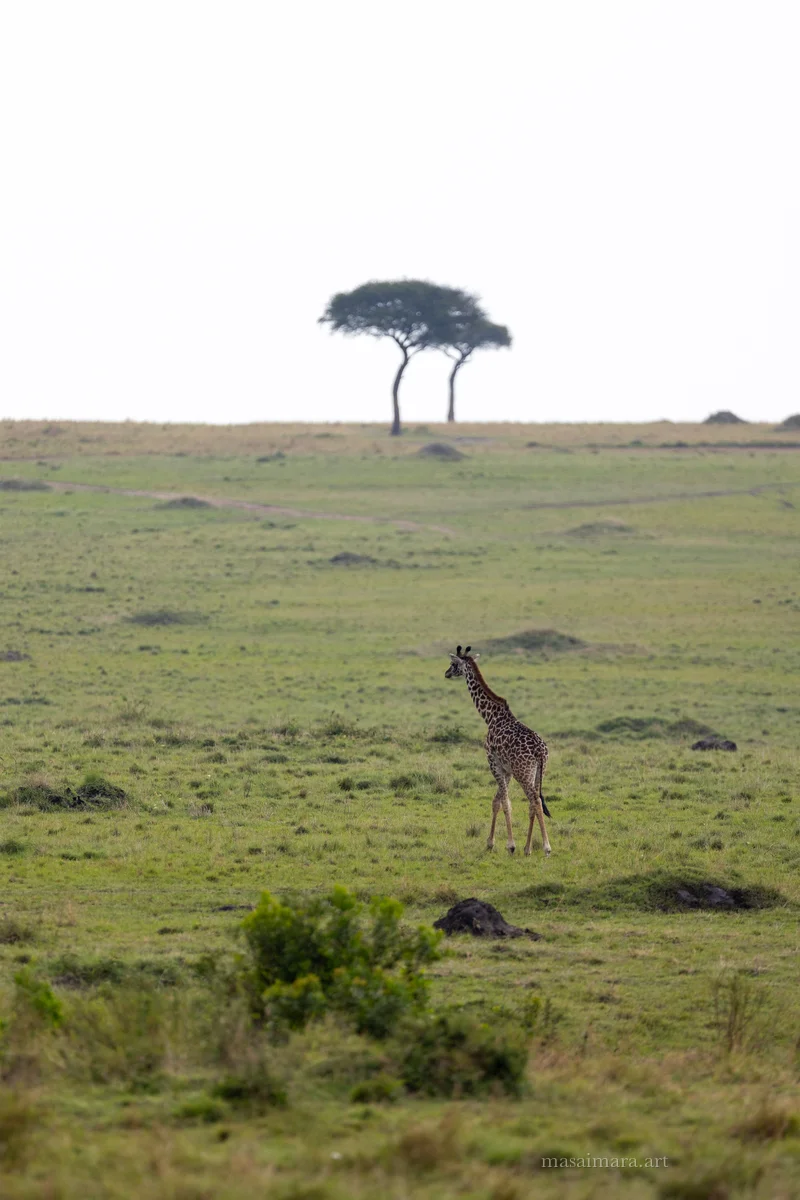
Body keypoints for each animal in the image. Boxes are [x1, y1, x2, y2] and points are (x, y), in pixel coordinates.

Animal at [444, 645, 551, 856]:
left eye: (453, 664)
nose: (446, 673)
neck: (490, 716)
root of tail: (540, 752)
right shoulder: (506, 769)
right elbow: (497, 801)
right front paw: (490, 842)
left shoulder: (493, 762)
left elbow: (505, 802)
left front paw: (510, 845)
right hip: (537, 772)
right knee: (533, 803)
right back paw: (528, 848)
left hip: (523, 772)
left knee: (534, 801)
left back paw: (546, 847)